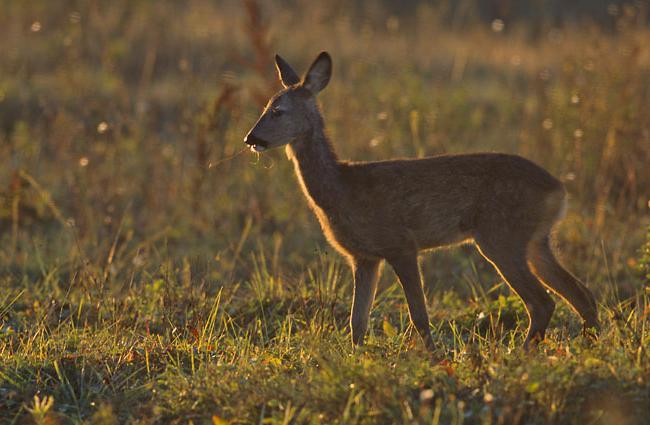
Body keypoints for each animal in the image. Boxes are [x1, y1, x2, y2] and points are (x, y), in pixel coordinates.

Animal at [242, 51, 596, 350]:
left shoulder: (401, 244)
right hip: (535, 240)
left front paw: (432, 357)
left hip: (502, 237)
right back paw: (587, 344)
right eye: (264, 108)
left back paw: (522, 354)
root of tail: (558, 191)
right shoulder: (363, 257)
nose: (250, 138)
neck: (341, 188)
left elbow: (419, 316)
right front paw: (356, 359)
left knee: (543, 301)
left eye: (278, 111)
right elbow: (357, 321)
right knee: (581, 293)